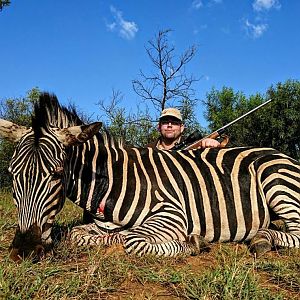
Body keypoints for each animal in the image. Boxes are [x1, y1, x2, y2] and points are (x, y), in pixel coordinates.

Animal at [0, 92, 298, 262]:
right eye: (11, 174)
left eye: (57, 174)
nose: (24, 251)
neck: (111, 180)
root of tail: (283, 155)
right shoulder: (101, 224)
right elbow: (78, 234)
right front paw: (113, 236)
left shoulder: (172, 213)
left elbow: (134, 242)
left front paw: (192, 243)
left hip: (276, 181)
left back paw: (262, 239)